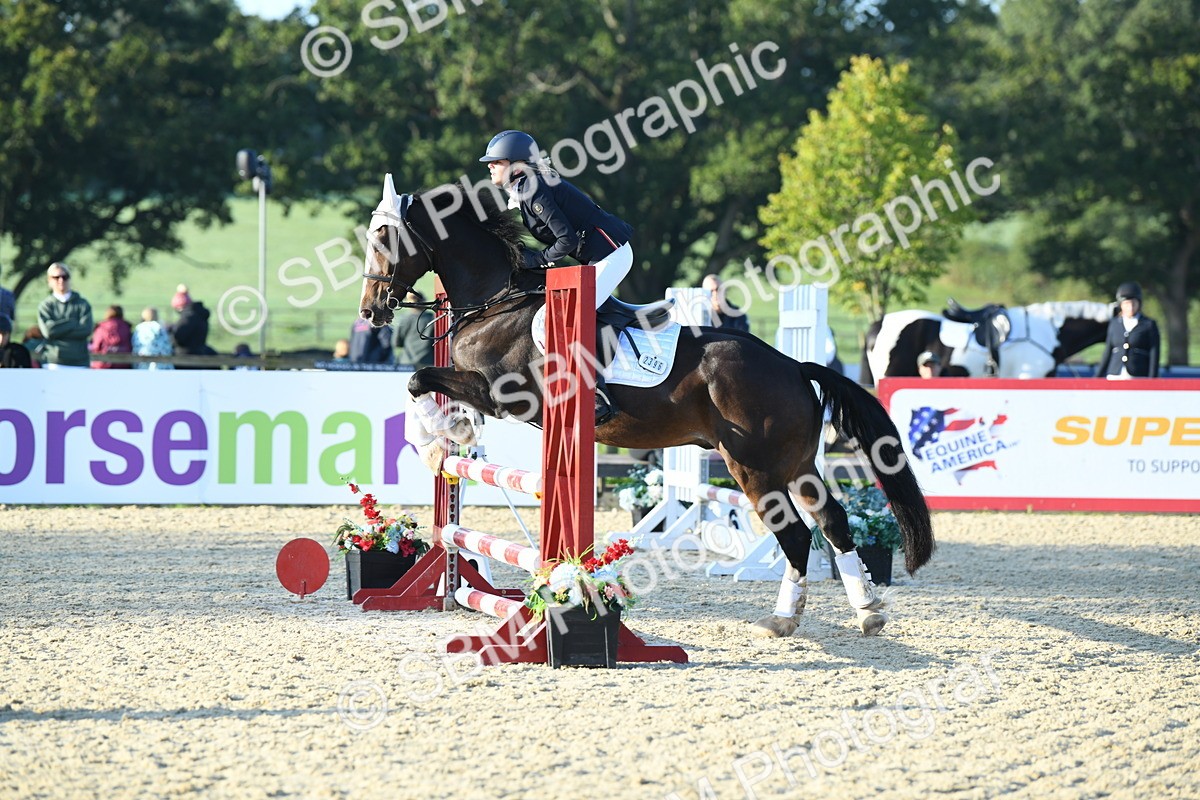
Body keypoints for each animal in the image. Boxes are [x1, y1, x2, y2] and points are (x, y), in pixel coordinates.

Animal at [358, 178, 934, 638]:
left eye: (384, 238)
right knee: (832, 520)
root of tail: (793, 365)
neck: (497, 299)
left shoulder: (504, 394)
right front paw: (447, 438)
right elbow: (424, 385)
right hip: (795, 463)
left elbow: (418, 379)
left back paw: (782, 619)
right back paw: (867, 611)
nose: (371, 311)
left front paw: (444, 433)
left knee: (795, 533)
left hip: (752, 466)